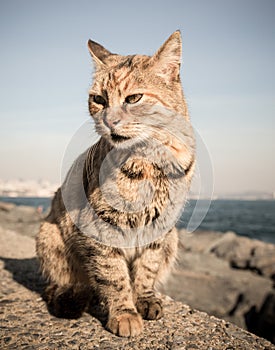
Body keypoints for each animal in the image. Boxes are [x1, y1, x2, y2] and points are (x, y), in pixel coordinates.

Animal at [36, 31, 196, 338]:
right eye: (98, 99)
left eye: (133, 98)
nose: (108, 121)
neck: (150, 161)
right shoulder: (99, 226)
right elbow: (114, 275)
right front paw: (124, 312)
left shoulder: (161, 226)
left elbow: (147, 267)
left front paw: (144, 298)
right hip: (49, 235)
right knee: (68, 282)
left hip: (173, 238)